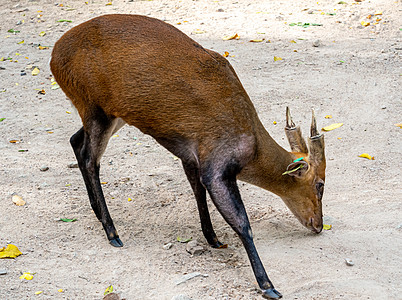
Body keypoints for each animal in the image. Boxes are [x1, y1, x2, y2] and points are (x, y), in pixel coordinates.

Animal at [50, 14, 326, 300]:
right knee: (89, 158)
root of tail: (54, 56)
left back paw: (97, 212)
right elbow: (242, 222)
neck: (251, 146)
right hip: (94, 107)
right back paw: (112, 232)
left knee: (76, 141)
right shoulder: (217, 165)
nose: (318, 225)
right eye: (320, 184)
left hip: (112, 114)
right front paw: (268, 285)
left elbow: (197, 191)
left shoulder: (191, 156)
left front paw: (213, 238)